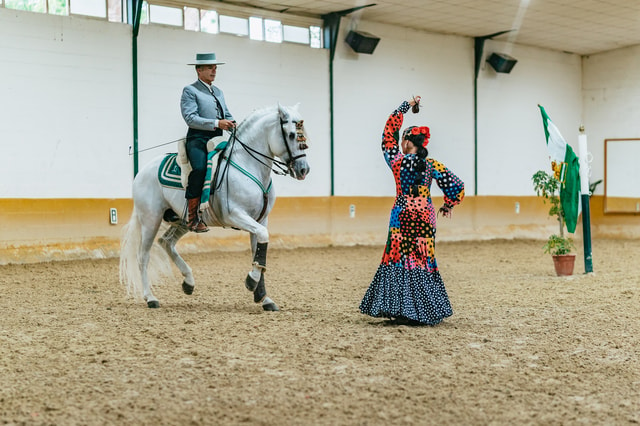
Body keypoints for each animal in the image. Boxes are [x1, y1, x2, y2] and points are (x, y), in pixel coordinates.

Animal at [121, 103, 312, 310]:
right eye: (292, 135)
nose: (304, 169)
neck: (248, 165)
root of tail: (142, 171)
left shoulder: (261, 220)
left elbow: (259, 251)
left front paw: (264, 298)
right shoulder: (235, 215)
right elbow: (263, 238)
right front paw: (251, 282)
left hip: (183, 220)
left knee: (166, 242)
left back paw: (188, 282)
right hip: (151, 220)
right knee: (143, 256)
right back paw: (150, 298)